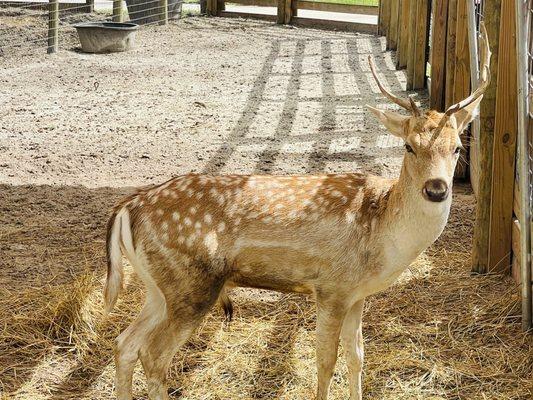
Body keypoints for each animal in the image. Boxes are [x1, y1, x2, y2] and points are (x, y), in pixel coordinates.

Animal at [104, 25, 490, 400]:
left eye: (458, 147)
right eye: (409, 147)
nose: (436, 189)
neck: (382, 237)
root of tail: (128, 208)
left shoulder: (356, 294)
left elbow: (357, 356)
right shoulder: (332, 287)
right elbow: (325, 361)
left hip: (158, 286)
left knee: (125, 343)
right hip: (191, 283)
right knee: (153, 355)